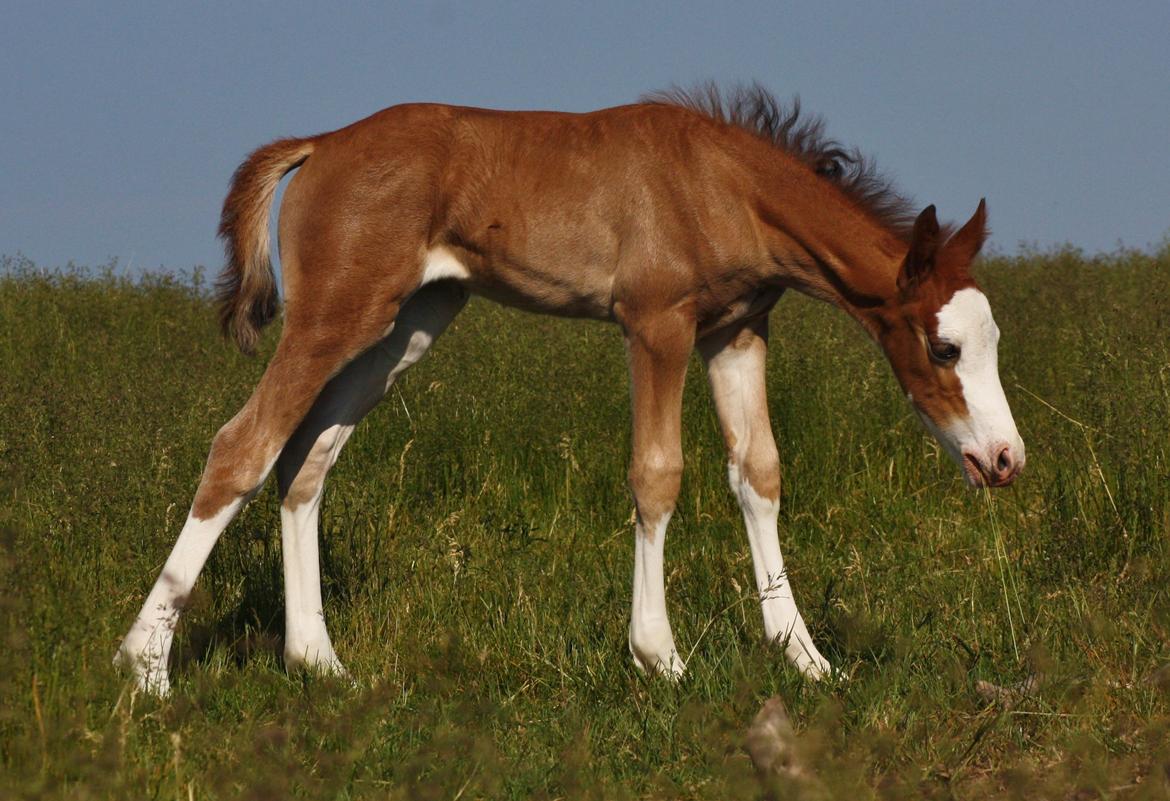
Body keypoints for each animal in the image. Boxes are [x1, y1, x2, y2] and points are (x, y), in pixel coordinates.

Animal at [114, 84, 1020, 692]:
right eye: (942, 347)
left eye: (994, 341)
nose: (1005, 458)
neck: (722, 184)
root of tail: (321, 143)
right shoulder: (656, 323)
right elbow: (658, 475)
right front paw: (661, 657)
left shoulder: (736, 330)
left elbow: (758, 473)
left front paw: (806, 657)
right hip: (335, 312)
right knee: (244, 443)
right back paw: (147, 666)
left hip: (407, 323)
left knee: (307, 456)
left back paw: (320, 661)